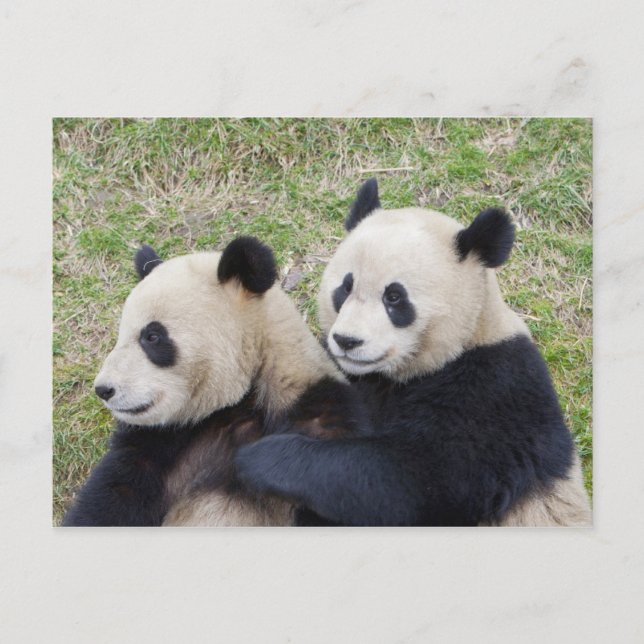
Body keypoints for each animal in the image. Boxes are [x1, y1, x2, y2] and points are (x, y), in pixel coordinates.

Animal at [62, 235, 367, 527]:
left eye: (152, 336)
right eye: (121, 335)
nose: (104, 389)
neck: (240, 403)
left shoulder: (321, 419)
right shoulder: (160, 443)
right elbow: (111, 500)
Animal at [234, 179, 592, 526]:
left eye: (394, 297)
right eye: (345, 288)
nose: (348, 341)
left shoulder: (496, 392)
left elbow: (414, 480)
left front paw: (262, 458)